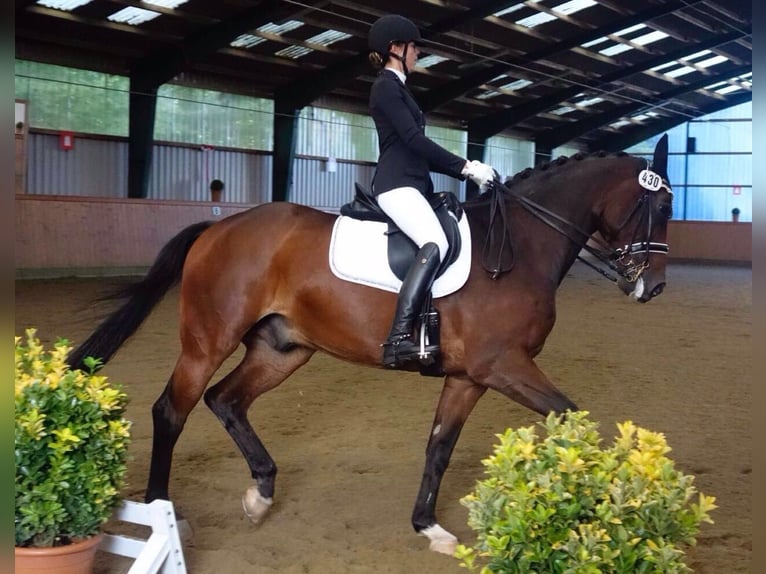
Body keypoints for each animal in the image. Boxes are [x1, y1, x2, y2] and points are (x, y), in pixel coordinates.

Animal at [70, 136, 672, 560]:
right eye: (660, 208)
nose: (653, 288)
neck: (521, 245)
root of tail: (218, 229)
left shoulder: (469, 376)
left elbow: (438, 447)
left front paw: (429, 528)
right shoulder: (504, 365)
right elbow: (571, 417)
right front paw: (598, 505)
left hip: (283, 350)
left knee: (226, 400)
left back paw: (261, 493)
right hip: (207, 340)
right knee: (172, 410)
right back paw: (163, 512)